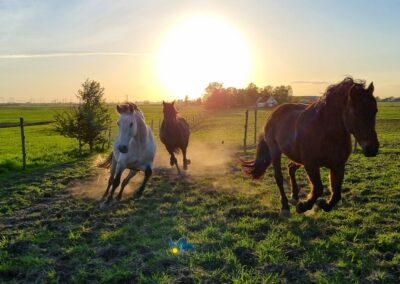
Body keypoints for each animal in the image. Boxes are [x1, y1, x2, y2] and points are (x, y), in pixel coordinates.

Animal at [241, 76, 378, 214]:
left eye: (375, 111)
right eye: (355, 112)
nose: (372, 148)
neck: (326, 132)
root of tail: (273, 113)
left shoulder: (338, 165)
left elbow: (336, 193)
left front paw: (323, 204)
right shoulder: (310, 164)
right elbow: (318, 188)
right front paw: (303, 206)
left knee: (291, 167)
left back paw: (295, 196)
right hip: (275, 151)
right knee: (278, 176)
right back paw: (285, 205)